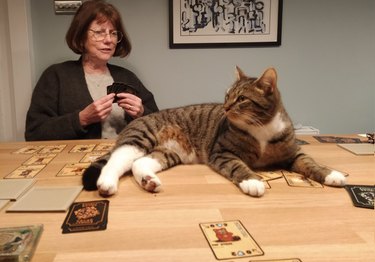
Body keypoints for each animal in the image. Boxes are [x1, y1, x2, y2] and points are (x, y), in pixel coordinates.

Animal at [82, 67, 346, 196]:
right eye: (227, 96)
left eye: (241, 99)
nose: (226, 107)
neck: (261, 127)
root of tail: (141, 118)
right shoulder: (222, 152)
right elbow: (239, 166)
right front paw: (253, 181)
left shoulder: (293, 153)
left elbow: (310, 163)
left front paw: (332, 174)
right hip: (140, 138)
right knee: (117, 159)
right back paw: (106, 183)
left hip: (169, 152)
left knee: (139, 163)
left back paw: (149, 181)